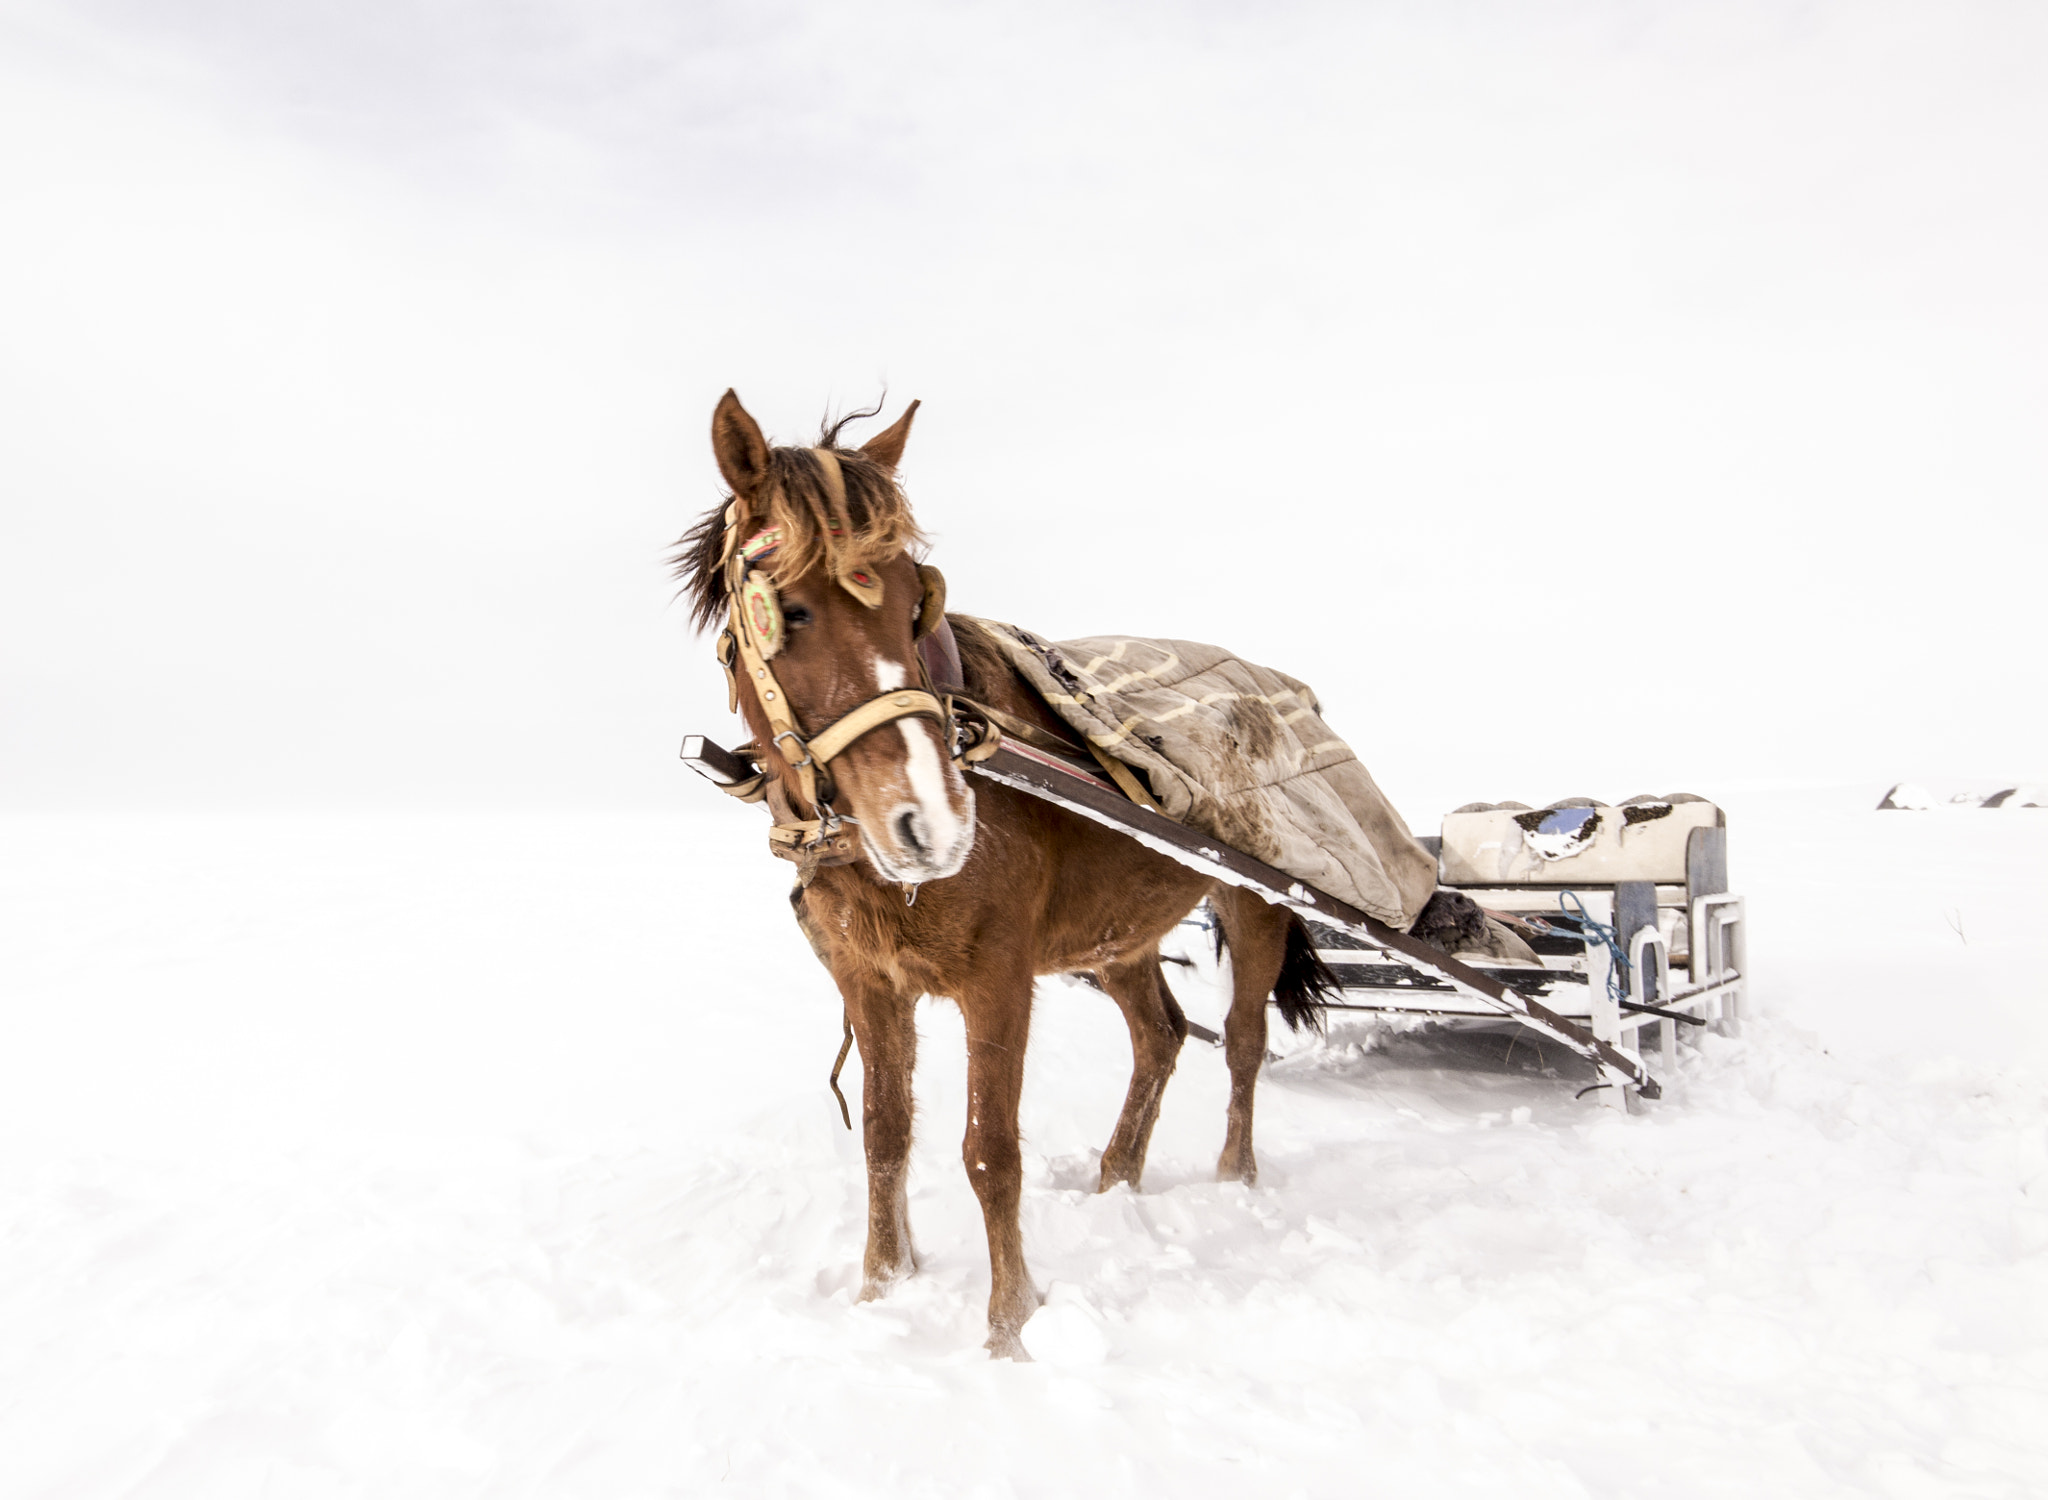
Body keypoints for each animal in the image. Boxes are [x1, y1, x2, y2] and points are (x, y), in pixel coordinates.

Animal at [679, 389, 1335, 1360]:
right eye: (788, 611)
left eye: (916, 602)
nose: (932, 823)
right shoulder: (869, 982)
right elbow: (885, 1135)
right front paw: (882, 1287)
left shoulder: (998, 979)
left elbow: (991, 1152)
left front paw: (1010, 1328)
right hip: (1117, 934)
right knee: (1161, 1036)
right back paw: (1116, 1179)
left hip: (1254, 899)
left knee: (1244, 1043)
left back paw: (1233, 1180)